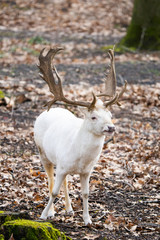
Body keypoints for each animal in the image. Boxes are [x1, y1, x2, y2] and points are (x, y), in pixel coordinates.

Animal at [33, 47, 126, 225]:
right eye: (93, 117)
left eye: (110, 114)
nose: (111, 127)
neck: (81, 157)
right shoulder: (62, 166)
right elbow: (54, 191)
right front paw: (43, 215)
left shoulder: (86, 171)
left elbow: (85, 193)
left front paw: (87, 219)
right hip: (43, 153)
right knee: (50, 180)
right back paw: (52, 211)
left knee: (65, 182)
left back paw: (69, 209)